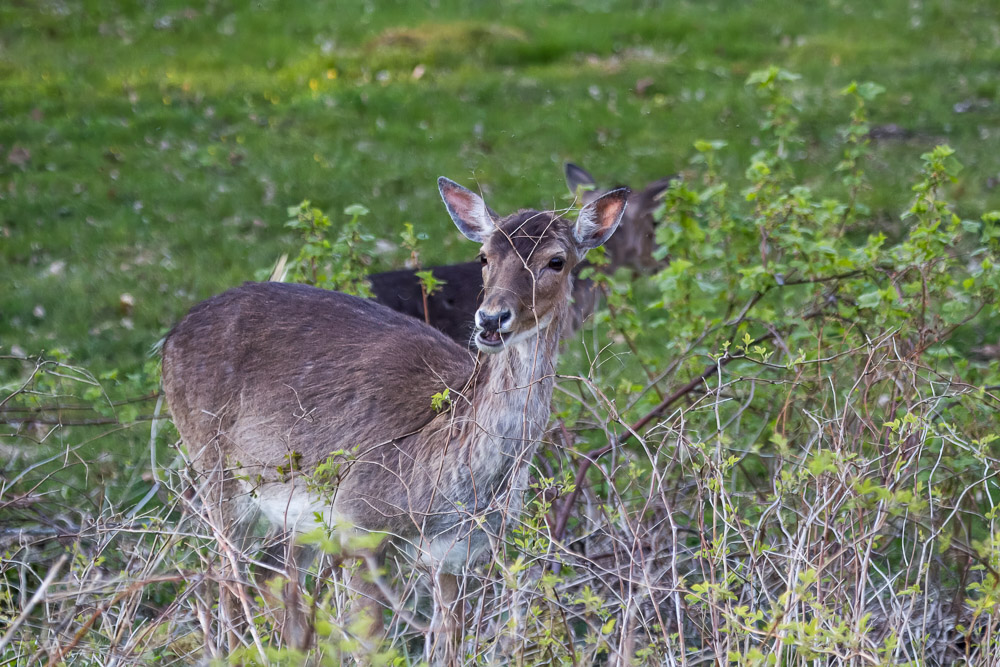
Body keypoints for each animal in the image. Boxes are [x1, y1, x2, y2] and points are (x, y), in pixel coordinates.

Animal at [160, 175, 628, 656]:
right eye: (484, 256)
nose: (491, 319)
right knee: (226, 581)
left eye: (557, 261)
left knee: (272, 577)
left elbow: (451, 641)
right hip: (214, 465)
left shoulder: (460, 551)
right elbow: (372, 644)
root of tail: (171, 335)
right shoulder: (360, 521)